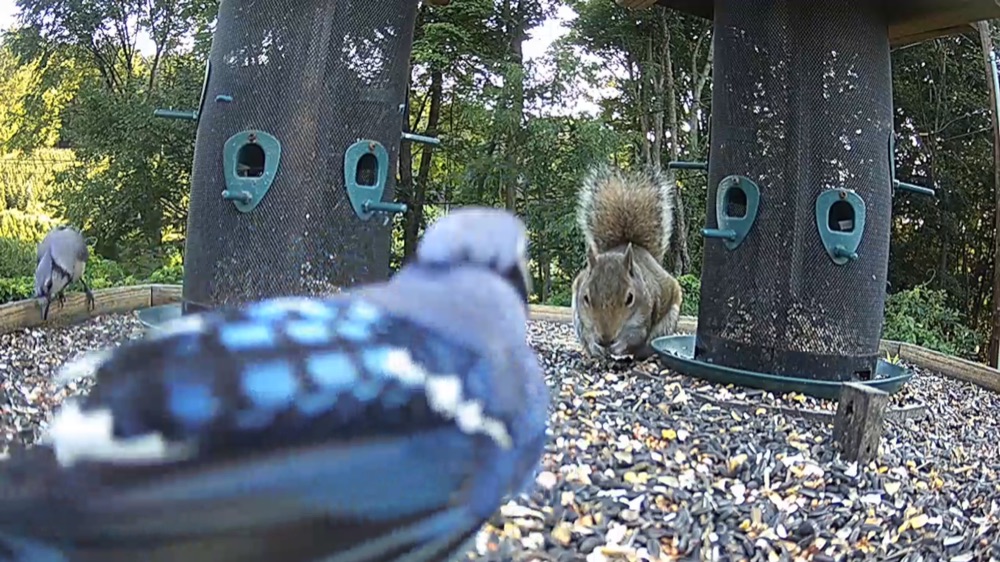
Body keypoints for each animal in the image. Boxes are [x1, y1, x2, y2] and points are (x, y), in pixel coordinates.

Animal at [571, 163, 683, 361]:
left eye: (630, 298)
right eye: (585, 298)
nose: (606, 339)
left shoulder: (643, 317)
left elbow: (634, 338)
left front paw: (619, 345)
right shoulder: (582, 315)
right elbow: (587, 332)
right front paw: (596, 345)